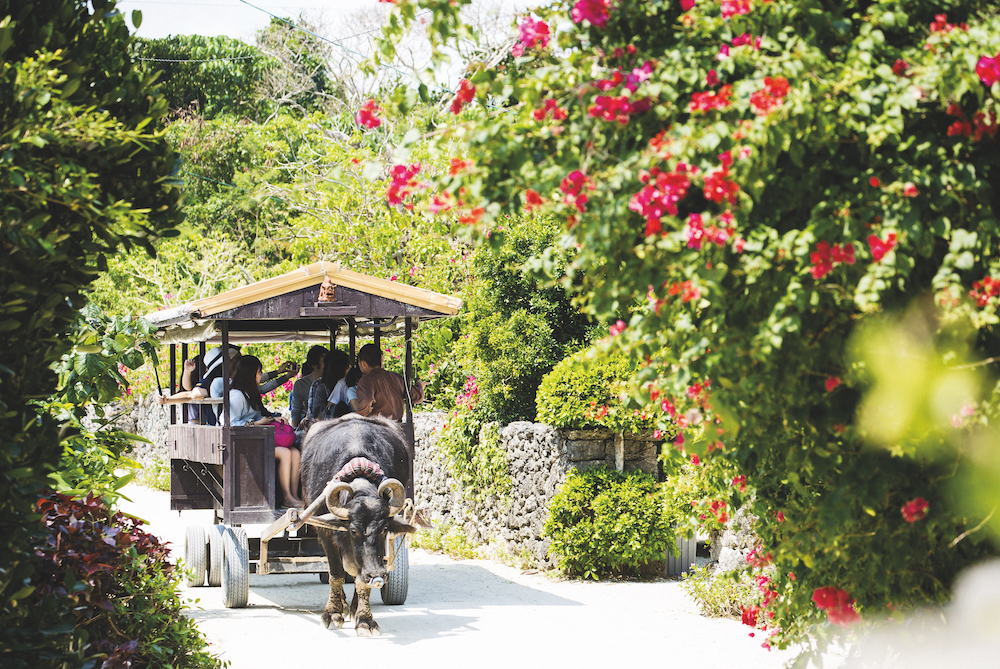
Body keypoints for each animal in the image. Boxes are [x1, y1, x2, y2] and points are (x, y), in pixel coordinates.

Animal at [300, 412, 418, 636]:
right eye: (353, 530)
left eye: (384, 529)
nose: (378, 575)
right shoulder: (326, 534)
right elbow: (336, 574)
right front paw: (333, 613)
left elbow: (361, 580)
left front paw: (364, 619)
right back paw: (344, 605)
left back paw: (353, 608)